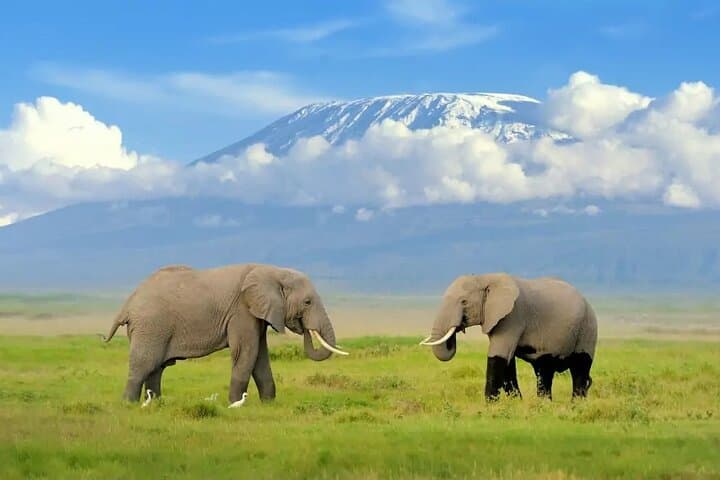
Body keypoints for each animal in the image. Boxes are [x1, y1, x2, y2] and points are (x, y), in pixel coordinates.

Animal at [102, 263, 348, 404]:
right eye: (307, 302)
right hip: (151, 326)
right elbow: (246, 353)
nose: (303, 327)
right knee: (144, 365)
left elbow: (260, 356)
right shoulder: (241, 311)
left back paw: (156, 403)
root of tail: (128, 303)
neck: (272, 271)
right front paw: (235, 404)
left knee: (156, 368)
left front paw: (269, 404)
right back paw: (129, 405)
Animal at [420, 273, 597, 401]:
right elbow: (508, 363)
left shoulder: (512, 317)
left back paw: (576, 405)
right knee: (544, 370)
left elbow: (498, 357)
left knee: (580, 368)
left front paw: (490, 406)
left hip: (588, 328)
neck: (485, 277)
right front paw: (516, 402)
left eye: (464, 302)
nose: (458, 328)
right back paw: (544, 404)